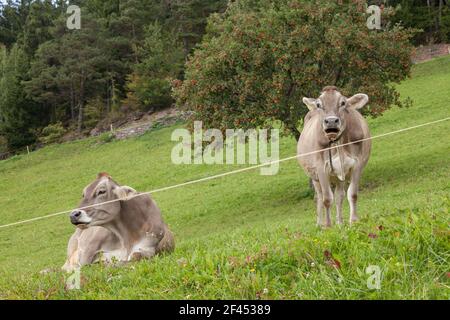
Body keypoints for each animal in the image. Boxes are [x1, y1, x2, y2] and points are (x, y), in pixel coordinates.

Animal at [298, 85, 370, 228]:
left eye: (343, 103)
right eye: (319, 104)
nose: (331, 121)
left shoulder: (357, 164)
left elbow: (352, 194)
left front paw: (354, 221)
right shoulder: (321, 168)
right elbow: (326, 199)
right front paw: (328, 225)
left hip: (339, 176)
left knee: (339, 196)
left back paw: (340, 222)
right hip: (314, 177)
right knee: (319, 197)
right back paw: (319, 224)